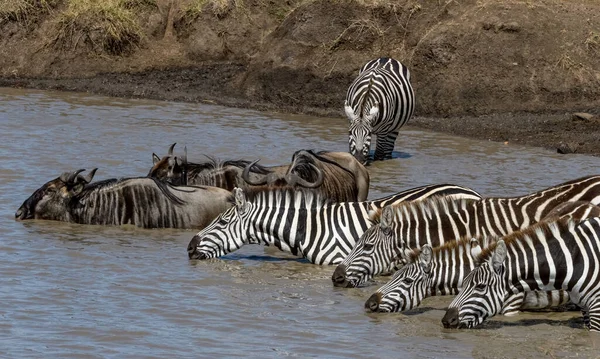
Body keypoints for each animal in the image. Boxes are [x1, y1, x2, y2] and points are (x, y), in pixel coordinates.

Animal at [440, 217, 600, 332]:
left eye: (480, 286)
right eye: (463, 283)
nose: (447, 320)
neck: (573, 261)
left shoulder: (597, 307)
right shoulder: (585, 308)